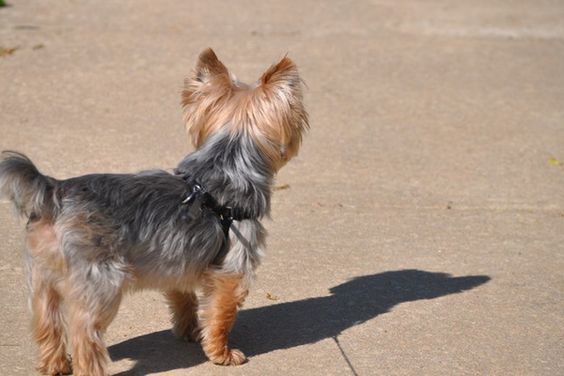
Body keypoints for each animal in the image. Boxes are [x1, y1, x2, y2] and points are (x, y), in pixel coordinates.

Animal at [0, 48, 308, 374]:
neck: (227, 164)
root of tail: (55, 193)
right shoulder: (232, 267)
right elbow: (222, 314)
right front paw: (221, 353)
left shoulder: (178, 262)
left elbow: (184, 299)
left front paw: (190, 331)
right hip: (102, 283)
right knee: (85, 334)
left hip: (42, 279)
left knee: (47, 322)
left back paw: (55, 365)